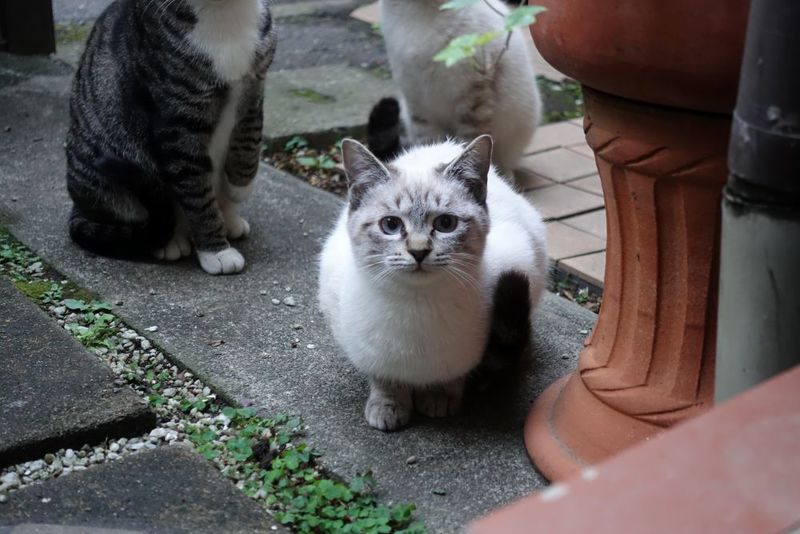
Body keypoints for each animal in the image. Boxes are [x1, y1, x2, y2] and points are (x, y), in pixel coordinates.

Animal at [66, 0, 276, 275]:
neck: (225, 17)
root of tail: (77, 209)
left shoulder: (254, 94)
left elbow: (250, 144)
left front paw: (239, 189)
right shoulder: (178, 124)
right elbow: (197, 194)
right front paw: (216, 251)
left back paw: (230, 218)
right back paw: (173, 241)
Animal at [318, 135, 548, 431]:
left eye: (445, 223)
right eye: (391, 225)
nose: (419, 252)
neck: (417, 307)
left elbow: (450, 377)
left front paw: (439, 399)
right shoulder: (367, 348)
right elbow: (385, 379)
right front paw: (388, 407)